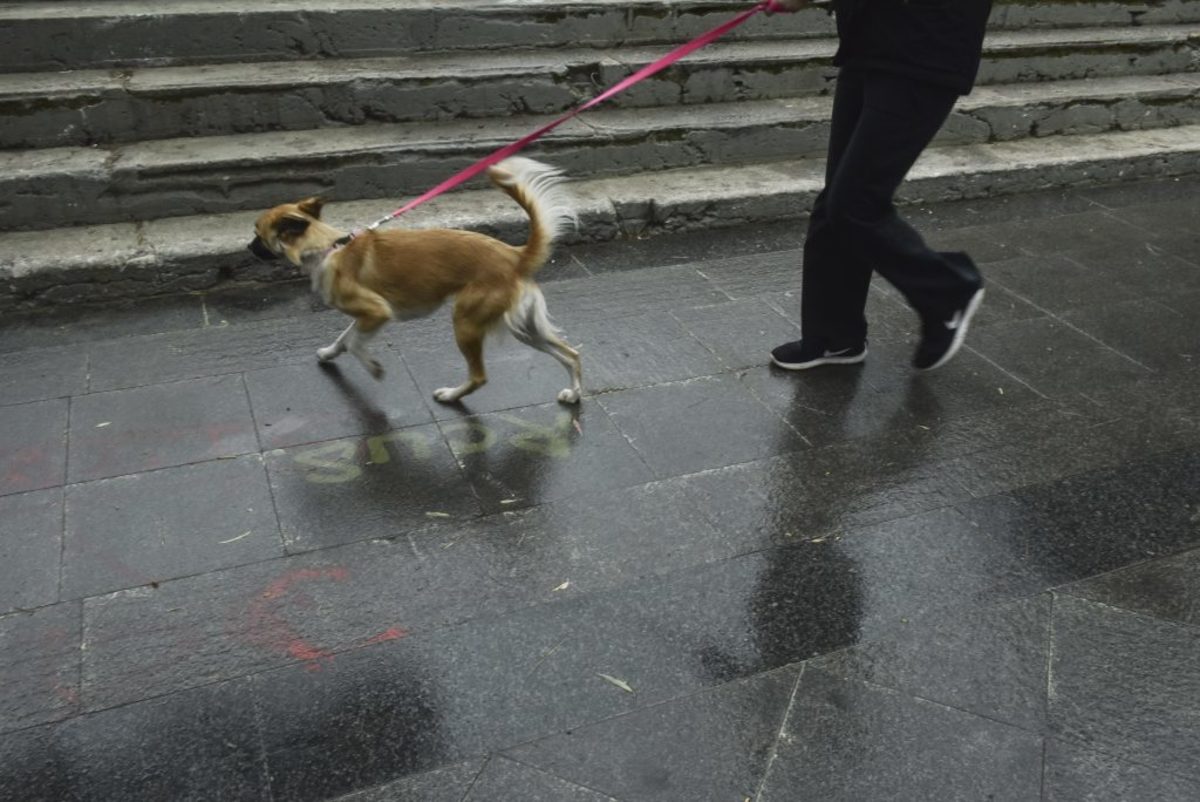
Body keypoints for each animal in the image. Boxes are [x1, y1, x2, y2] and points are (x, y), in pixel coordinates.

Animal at [246, 157, 583, 403]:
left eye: (257, 234)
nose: (248, 248)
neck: (328, 247)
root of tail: (515, 255)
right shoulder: (365, 316)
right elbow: (344, 338)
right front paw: (329, 353)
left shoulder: (376, 311)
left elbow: (353, 342)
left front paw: (372, 367)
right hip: (524, 326)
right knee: (571, 354)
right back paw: (574, 394)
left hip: (467, 321)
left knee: (479, 377)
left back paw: (451, 395)